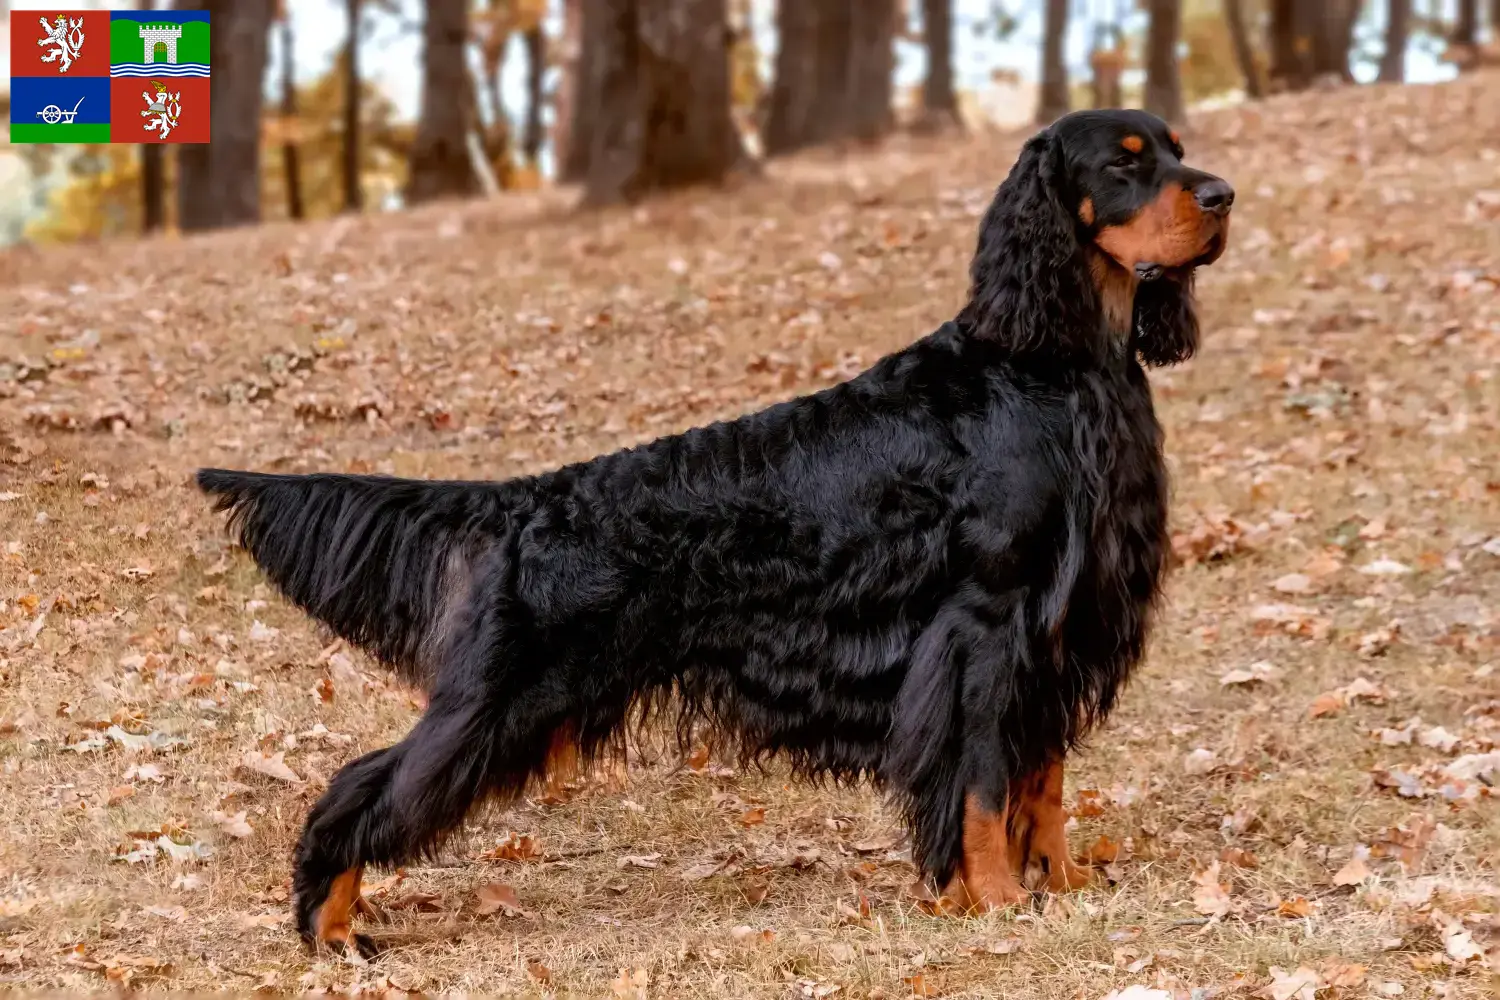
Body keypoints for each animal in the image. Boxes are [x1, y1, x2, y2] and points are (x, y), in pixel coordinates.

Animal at [199, 107, 1230, 953]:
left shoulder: (1057, 625)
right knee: (365, 786)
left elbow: (1041, 779)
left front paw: (1062, 882)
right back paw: (330, 928)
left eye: (1177, 147)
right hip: (506, 694)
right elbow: (982, 782)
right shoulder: (985, 623)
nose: (1222, 196)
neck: (1054, 360)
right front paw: (999, 901)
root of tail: (531, 499)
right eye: (1126, 161)